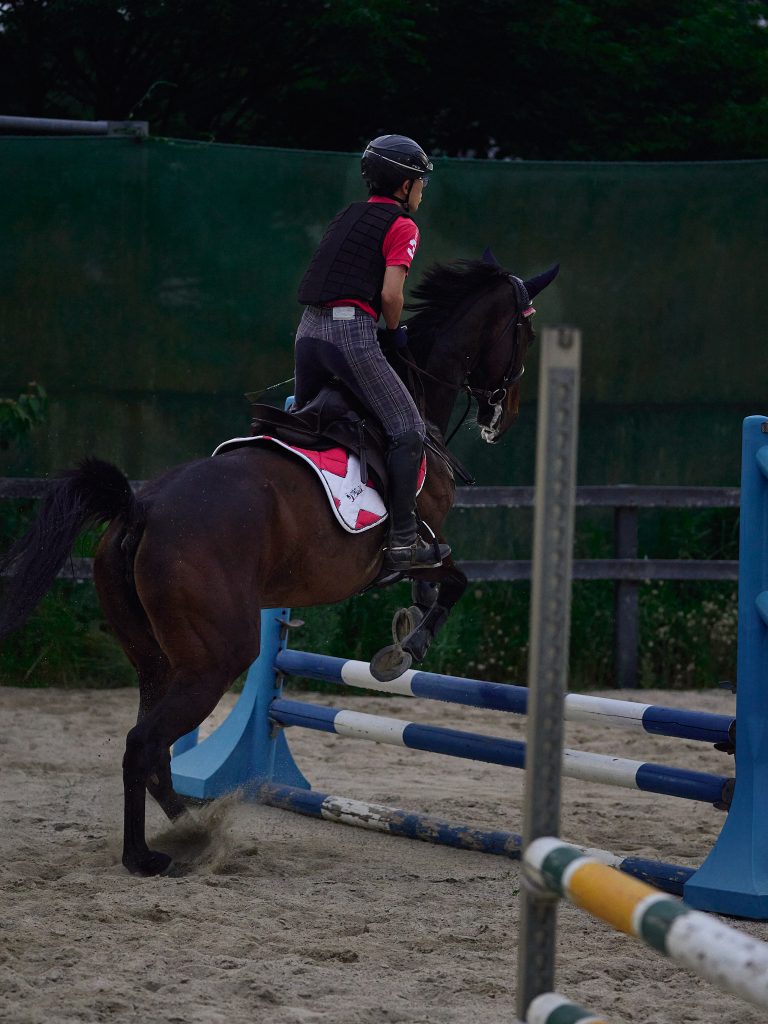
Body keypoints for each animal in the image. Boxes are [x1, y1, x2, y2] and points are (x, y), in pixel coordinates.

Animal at [0, 252, 558, 876]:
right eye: (525, 333)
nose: (503, 417)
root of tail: (139, 507)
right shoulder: (424, 545)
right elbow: (450, 581)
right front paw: (403, 652)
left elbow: (430, 590)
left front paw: (404, 629)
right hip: (215, 659)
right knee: (143, 744)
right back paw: (152, 852)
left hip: (158, 661)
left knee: (155, 749)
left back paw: (187, 831)